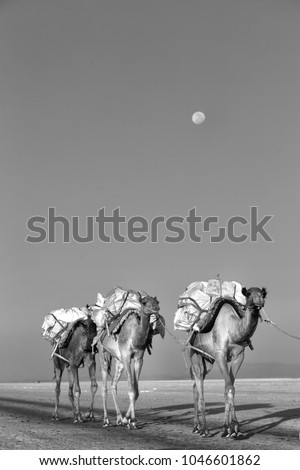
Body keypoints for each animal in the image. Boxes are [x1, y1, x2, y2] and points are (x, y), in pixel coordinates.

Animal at [98, 298, 164, 430]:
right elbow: (131, 391)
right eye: (144, 302)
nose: (156, 308)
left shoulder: (139, 358)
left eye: (157, 301)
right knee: (104, 388)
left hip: (119, 361)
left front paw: (127, 420)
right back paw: (106, 420)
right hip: (103, 354)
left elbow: (136, 391)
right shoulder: (126, 357)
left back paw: (119, 418)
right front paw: (132, 421)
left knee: (113, 385)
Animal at [188, 286, 268, 436]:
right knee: (199, 382)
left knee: (196, 385)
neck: (233, 330)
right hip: (195, 354)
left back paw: (196, 426)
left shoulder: (238, 356)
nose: (260, 300)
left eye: (263, 294)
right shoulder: (220, 354)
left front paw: (230, 428)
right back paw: (204, 430)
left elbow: (229, 388)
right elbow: (229, 388)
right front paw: (232, 426)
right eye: (248, 294)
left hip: (208, 361)